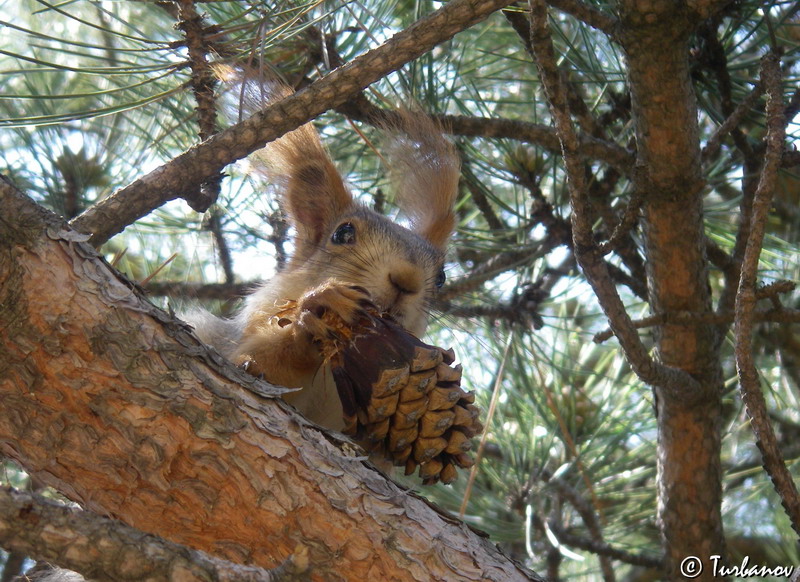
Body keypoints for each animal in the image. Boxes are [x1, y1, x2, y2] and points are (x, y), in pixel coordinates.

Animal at [190, 90, 460, 434]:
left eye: (441, 277)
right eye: (342, 233)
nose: (406, 280)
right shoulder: (234, 343)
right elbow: (257, 360)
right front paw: (316, 312)